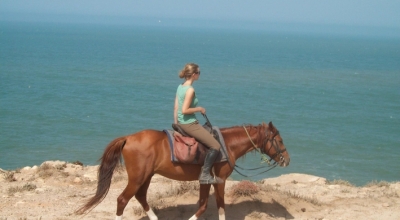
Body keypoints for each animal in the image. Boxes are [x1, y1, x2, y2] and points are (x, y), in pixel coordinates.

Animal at [76, 121, 290, 219]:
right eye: (279, 141)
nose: (287, 160)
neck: (226, 144)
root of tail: (128, 138)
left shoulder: (207, 180)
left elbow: (204, 205)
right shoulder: (220, 180)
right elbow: (218, 205)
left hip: (146, 176)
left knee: (141, 197)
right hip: (138, 177)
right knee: (122, 199)